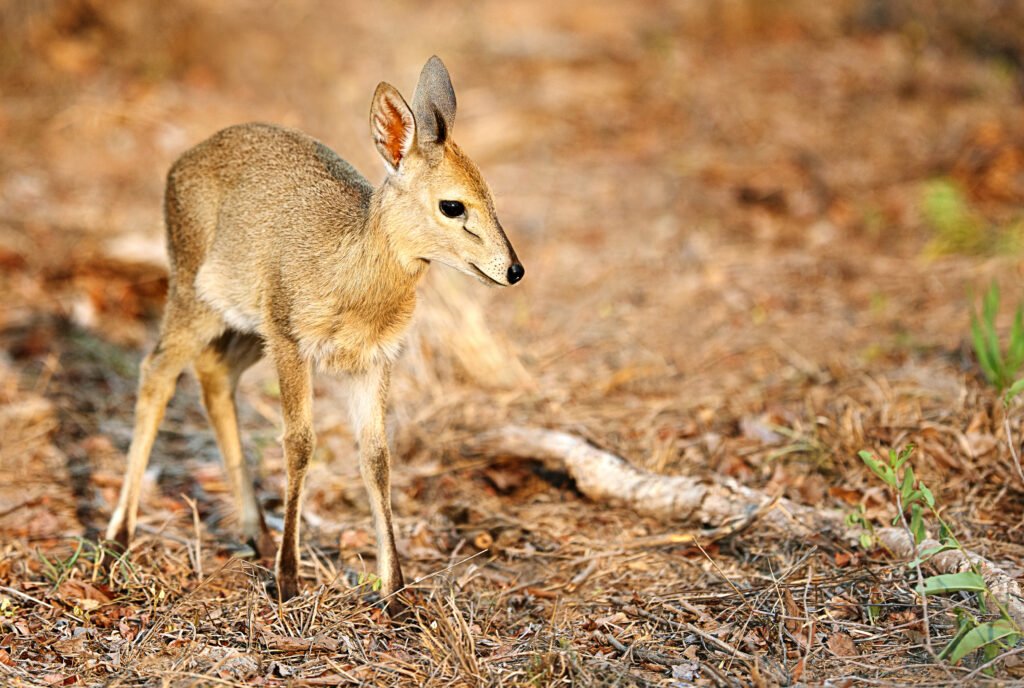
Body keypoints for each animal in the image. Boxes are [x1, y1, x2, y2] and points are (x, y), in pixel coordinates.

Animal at [104, 56, 524, 602]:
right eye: (452, 205)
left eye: (490, 195)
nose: (513, 270)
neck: (354, 275)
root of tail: (184, 160)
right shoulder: (290, 344)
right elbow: (300, 444)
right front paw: (287, 577)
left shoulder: (375, 360)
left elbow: (377, 458)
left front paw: (396, 594)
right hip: (194, 302)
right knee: (156, 372)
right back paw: (119, 535)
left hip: (244, 330)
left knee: (214, 377)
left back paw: (255, 533)